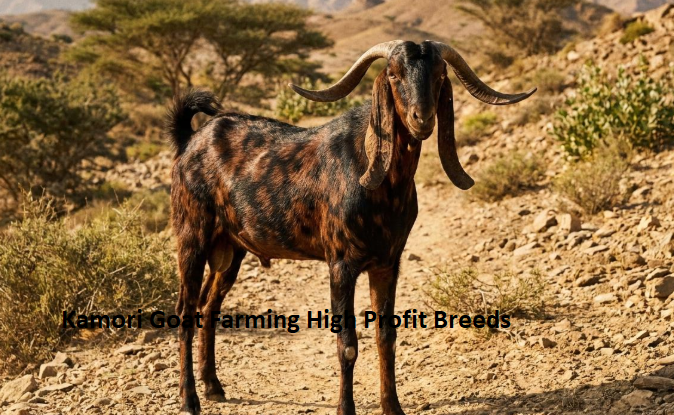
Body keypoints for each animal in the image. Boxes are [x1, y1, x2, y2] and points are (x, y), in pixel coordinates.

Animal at [166, 40, 535, 415]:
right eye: (393, 74)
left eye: (440, 74)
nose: (422, 118)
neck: (378, 177)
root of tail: (190, 141)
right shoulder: (341, 264)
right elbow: (347, 343)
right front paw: (346, 408)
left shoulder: (387, 263)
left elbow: (386, 337)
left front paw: (393, 407)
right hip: (192, 237)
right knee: (185, 311)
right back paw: (189, 399)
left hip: (231, 248)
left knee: (209, 306)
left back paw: (213, 386)